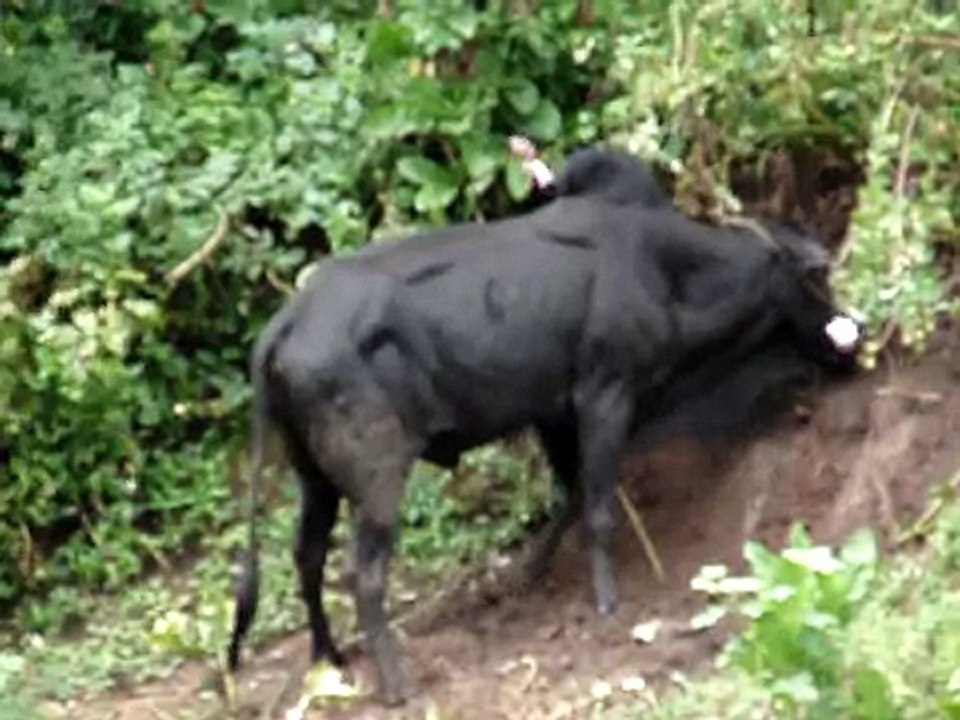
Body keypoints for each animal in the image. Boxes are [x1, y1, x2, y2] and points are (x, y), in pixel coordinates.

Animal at [225, 148, 862, 705]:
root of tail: (286, 321)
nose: (850, 341)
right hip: (377, 471)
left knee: (306, 557)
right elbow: (599, 505)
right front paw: (607, 600)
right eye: (819, 275)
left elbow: (571, 492)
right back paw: (396, 682)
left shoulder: (553, 411)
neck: (667, 268)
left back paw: (328, 656)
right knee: (364, 575)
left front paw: (524, 574)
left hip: (313, 475)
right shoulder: (605, 393)